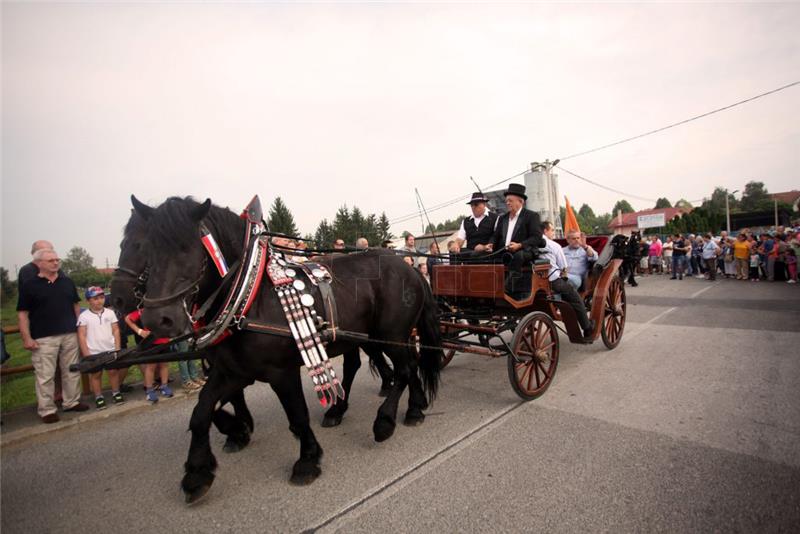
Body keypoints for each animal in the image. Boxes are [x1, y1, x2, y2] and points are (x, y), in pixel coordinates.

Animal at [132, 197, 444, 502]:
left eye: (187, 248)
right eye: (148, 253)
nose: (157, 319)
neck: (250, 296)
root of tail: (410, 268)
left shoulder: (281, 371)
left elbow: (297, 416)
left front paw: (307, 461)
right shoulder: (232, 372)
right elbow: (201, 412)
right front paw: (198, 472)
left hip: (390, 335)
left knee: (404, 369)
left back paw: (385, 421)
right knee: (402, 365)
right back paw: (408, 408)